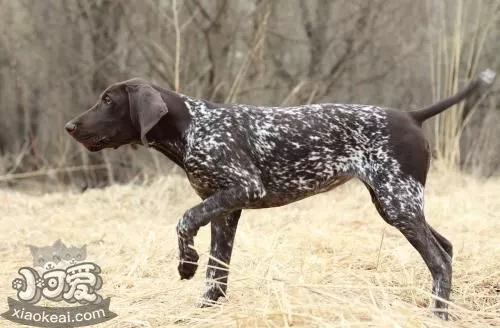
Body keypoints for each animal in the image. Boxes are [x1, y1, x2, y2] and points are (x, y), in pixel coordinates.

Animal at [65, 68, 496, 320]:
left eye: (108, 100)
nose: (70, 126)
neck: (191, 126)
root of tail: (411, 116)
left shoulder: (240, 189)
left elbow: (185, 222)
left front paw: (186, 263)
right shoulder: (226, 208)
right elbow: (218, 270)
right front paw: (206, 308)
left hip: (397, 202)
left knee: (439, 260)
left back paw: (437, 315)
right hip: (396, 203)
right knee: (447, 249)